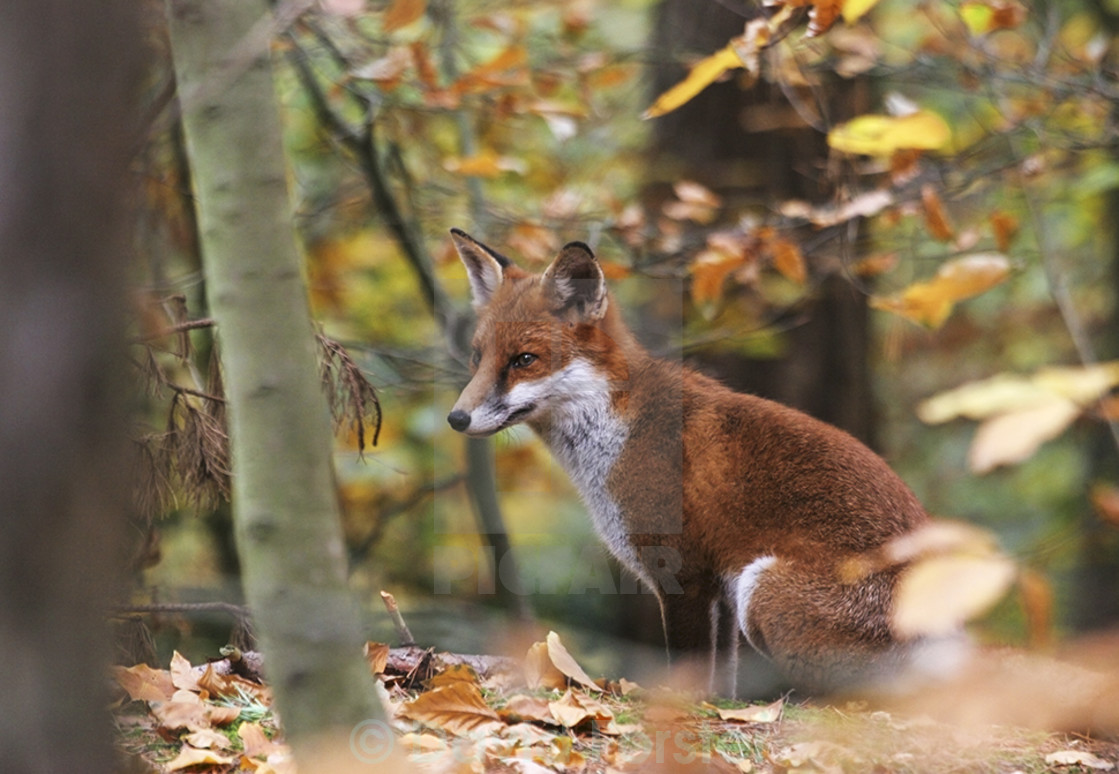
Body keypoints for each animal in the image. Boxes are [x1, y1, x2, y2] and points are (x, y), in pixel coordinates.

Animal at [445, 227, 953, 693]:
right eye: (477, 357)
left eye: (523, 360)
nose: (456, 417)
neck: (617, 432)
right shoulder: (719, 592)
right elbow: (720, 685)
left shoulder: (682, 575)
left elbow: (684, 677)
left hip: (760, 587)